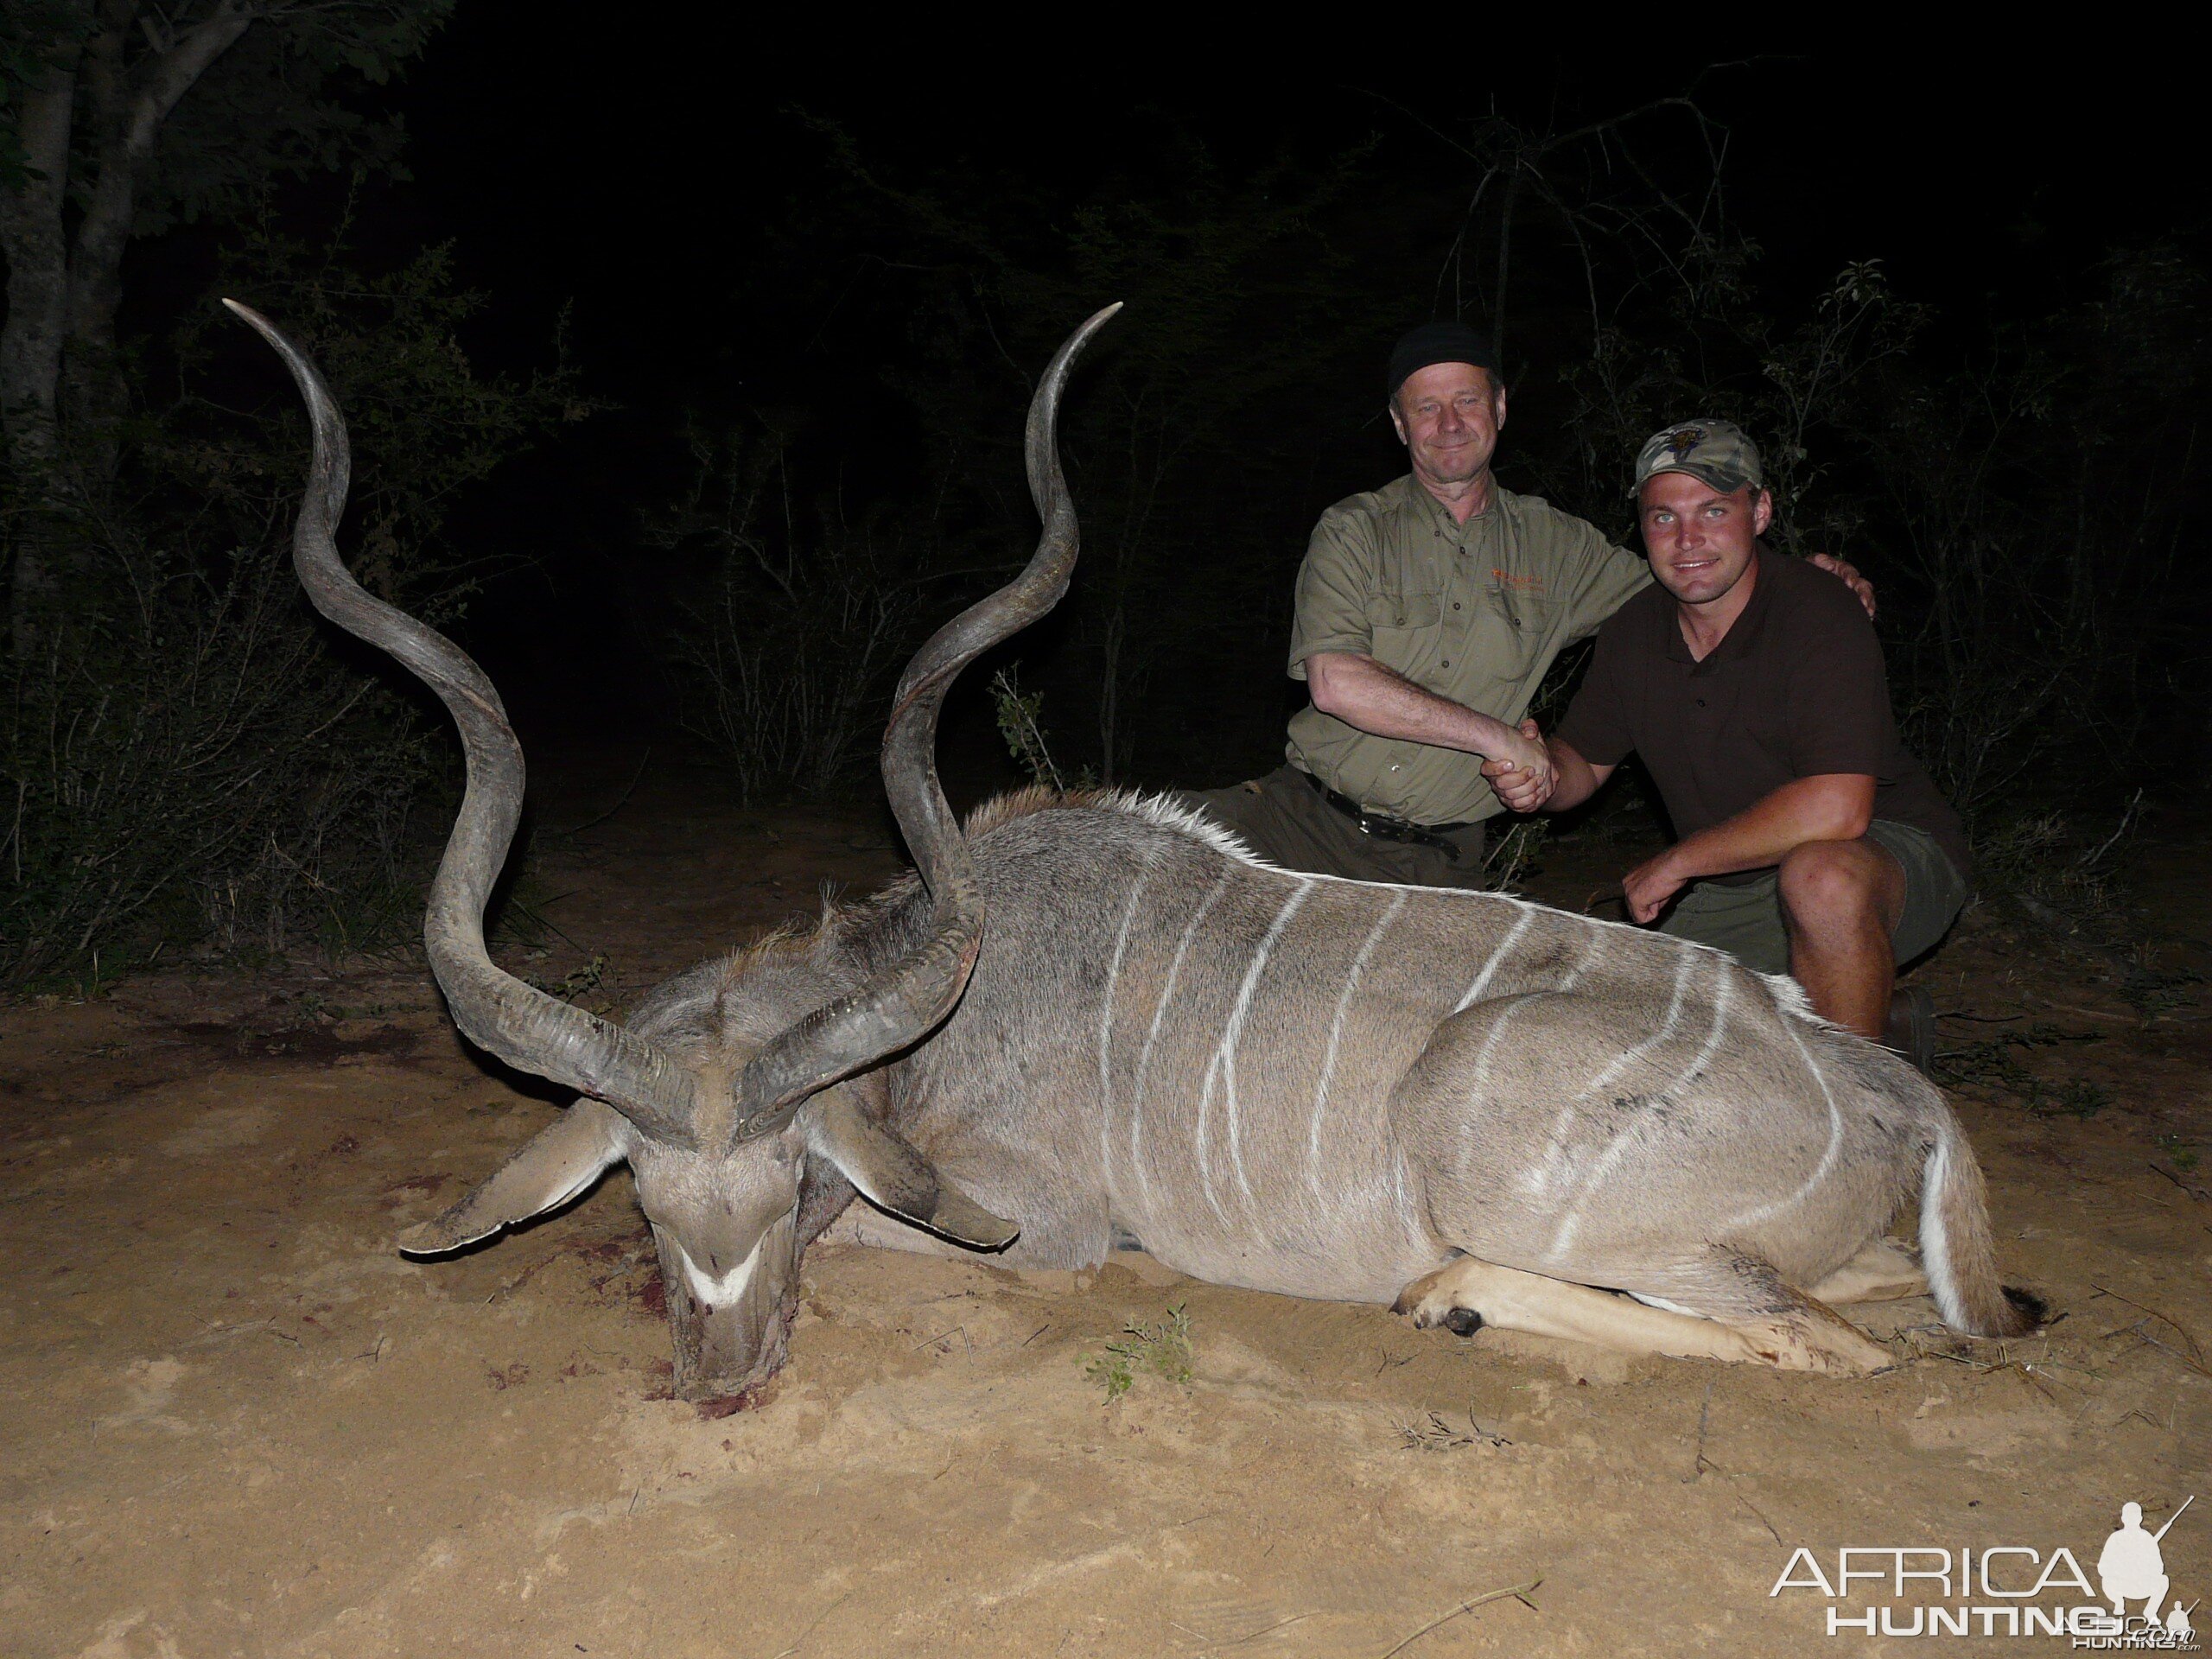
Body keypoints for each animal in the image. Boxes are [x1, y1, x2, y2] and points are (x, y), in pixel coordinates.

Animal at [228, 298, 2035, 1407]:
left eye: (796, 1179)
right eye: (652, 1200)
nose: (725, 1383)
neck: (940, 1018)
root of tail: (1891, 1095)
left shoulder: (1041, 1226)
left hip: (1487, 1140)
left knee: (1828, 1346)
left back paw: (1445, 1293)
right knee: (1907, 1310)